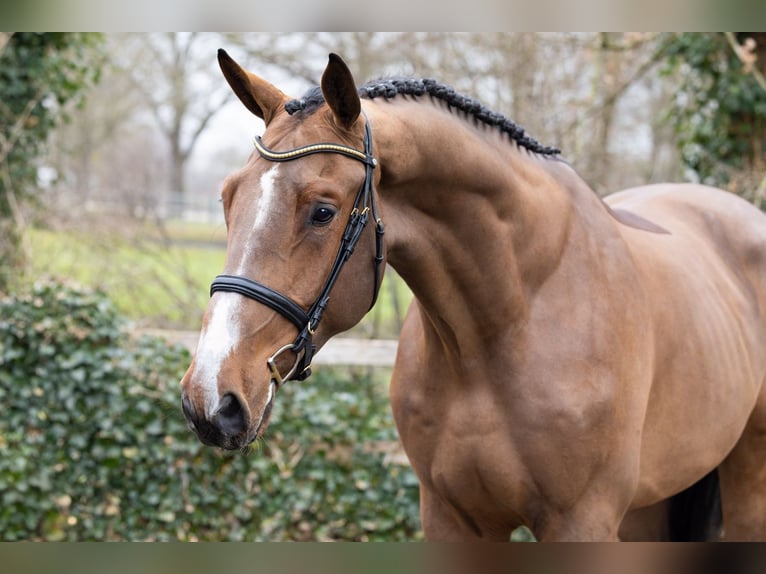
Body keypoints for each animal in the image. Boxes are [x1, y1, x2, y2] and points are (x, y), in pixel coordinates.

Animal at [180, 49, 766, 541]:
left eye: (322, 211)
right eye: (227, 197)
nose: (210, 399)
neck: (508, 324)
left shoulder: (582, 521)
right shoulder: (451, 516)